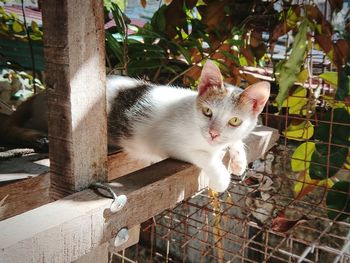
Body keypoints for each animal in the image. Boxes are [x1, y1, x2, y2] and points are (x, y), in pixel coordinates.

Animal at [0, 60, 270, 192]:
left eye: (234, 121)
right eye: (207, 112)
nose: (213, 133)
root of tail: (41, 95)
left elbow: (234, 140)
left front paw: (238, 157)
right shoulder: (171, 143)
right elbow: (204, 156)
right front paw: (221, 177)